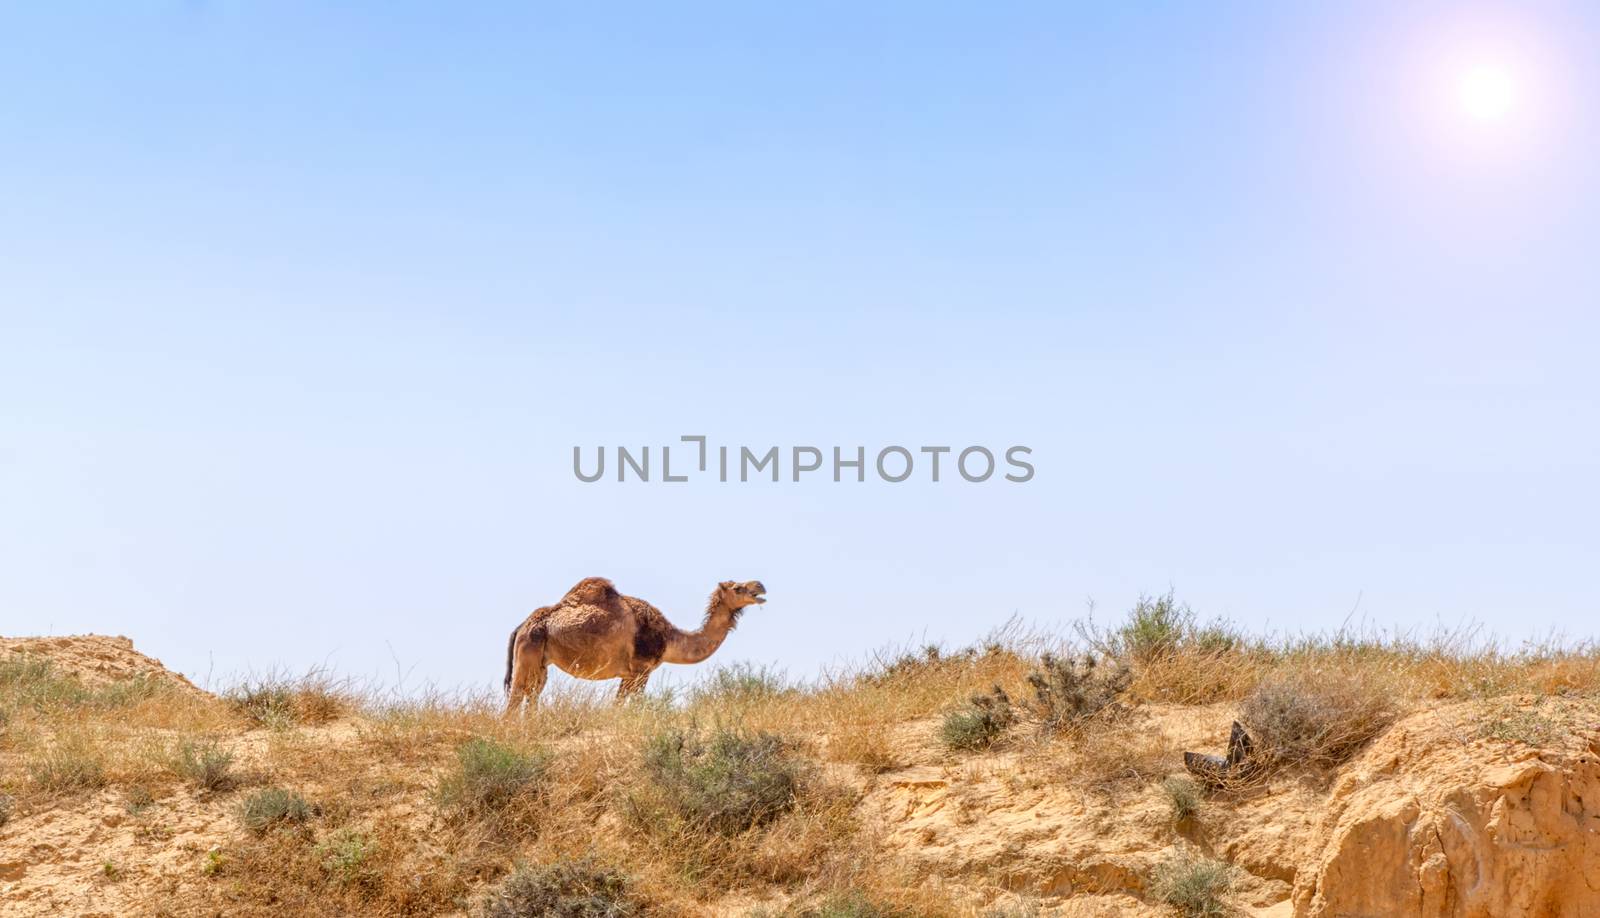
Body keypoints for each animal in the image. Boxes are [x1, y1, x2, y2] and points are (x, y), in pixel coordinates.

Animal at [502, 575, 771, 719]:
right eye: (737, 587)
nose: (760, 586)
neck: (669, 637)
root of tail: (521, 626)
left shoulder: (629, 674)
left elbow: (618, 704)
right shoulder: (642, 670)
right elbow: (634, 705)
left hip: (541, 664)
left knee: (533, 694)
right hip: (527, 653)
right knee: (516, 697)